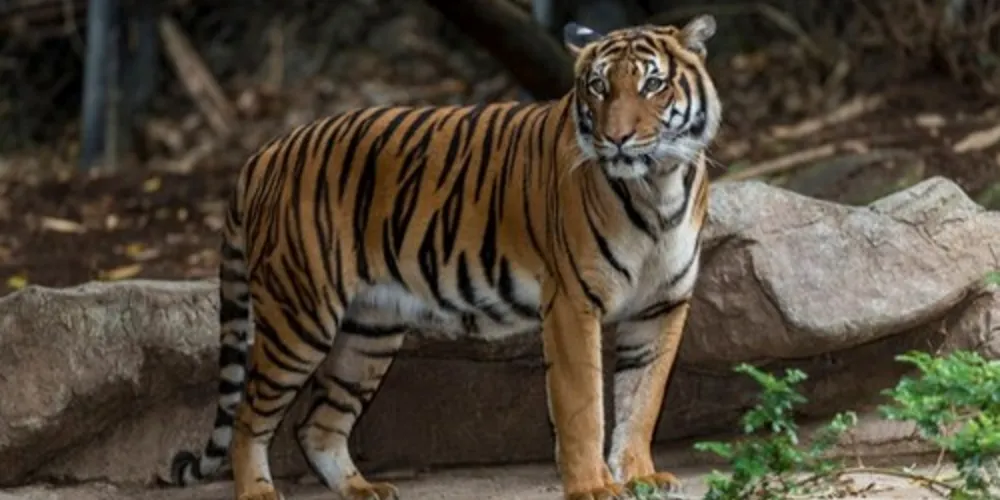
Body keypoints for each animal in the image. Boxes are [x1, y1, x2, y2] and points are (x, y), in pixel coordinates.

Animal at [167, 14, 721, 500]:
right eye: (599, 87)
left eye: (653, 85)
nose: (617, 139)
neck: (658, 187)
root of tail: (263, 154)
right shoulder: (572, 302)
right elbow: (583, 402)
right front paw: (593, 487)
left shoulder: (662, 305)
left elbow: (642, 398)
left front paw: (640, 475)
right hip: (299, 317)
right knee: (249, 417)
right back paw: (258, 491)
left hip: (370, 331)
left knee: (316, 424)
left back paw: (363, 489)